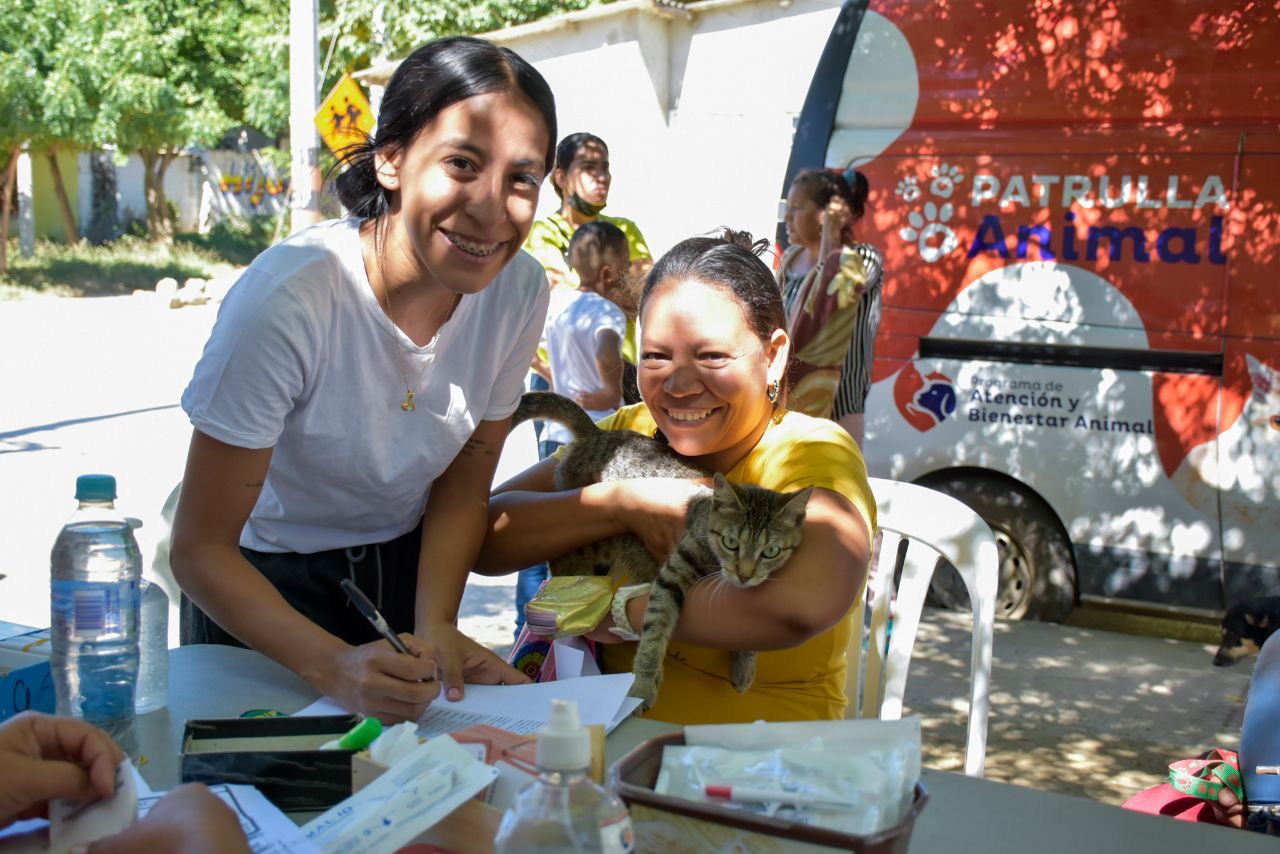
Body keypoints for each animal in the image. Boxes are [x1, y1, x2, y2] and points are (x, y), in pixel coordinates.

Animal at [509, 391, 808, 706]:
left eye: (770, 552)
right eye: (731, 543)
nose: (744, 575)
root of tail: (598, 434)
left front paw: (744, 667)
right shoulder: (674, 571)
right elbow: (656, 627)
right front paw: (643, 684)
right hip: (587, 543)